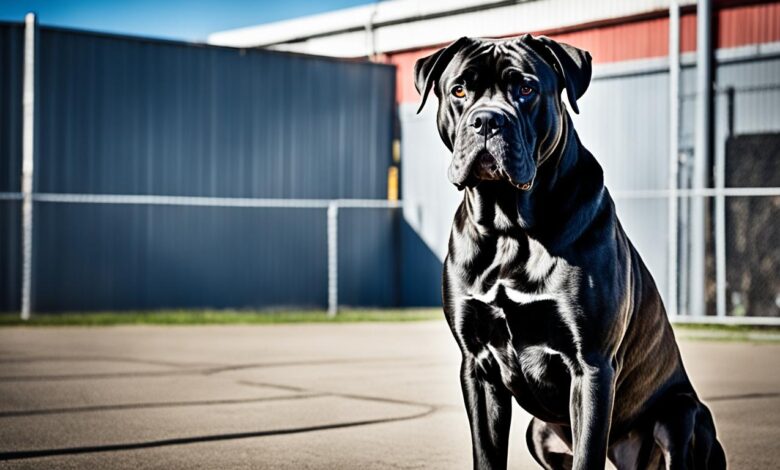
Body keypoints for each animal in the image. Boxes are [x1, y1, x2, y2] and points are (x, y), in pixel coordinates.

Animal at [418, 35, 728, 470]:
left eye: (526, 88)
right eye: (460, 90)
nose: (487, 121)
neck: (509, 229)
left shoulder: (591, 364)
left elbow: (587, 452)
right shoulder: (478, 366)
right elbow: (487, 451)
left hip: (680, 413)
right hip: (538, 431)